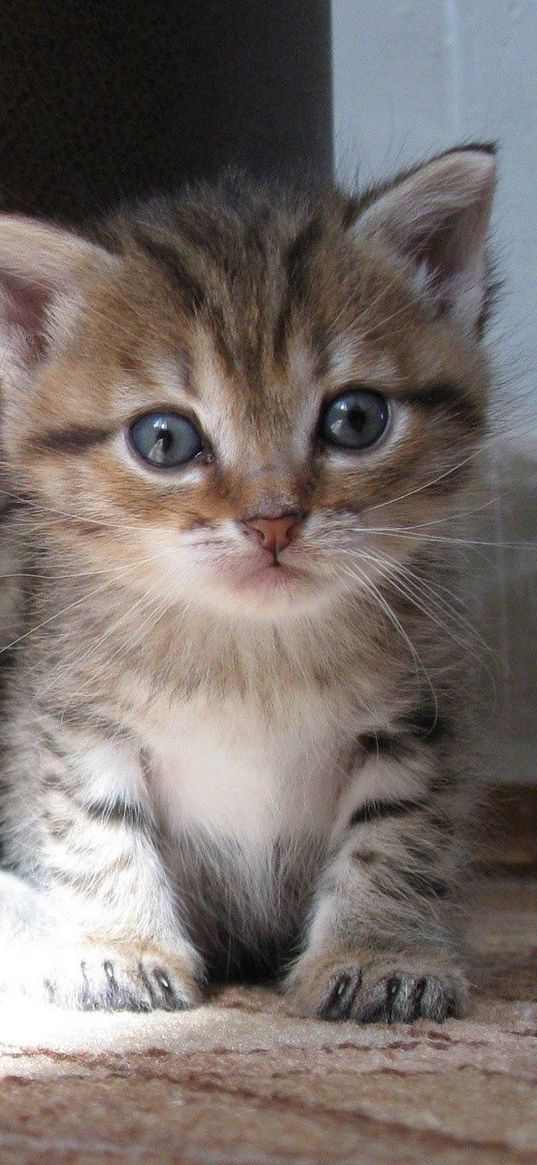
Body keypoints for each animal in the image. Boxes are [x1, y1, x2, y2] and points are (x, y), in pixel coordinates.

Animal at [0, 145, 493, 1020]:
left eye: (355, 419)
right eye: (164, 438)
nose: (273, 520)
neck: (252, 651)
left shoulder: (420, 714)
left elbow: (397, 830)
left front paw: (380, 950)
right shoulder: (68, 713)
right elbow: (92, 825)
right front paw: (119, 944)